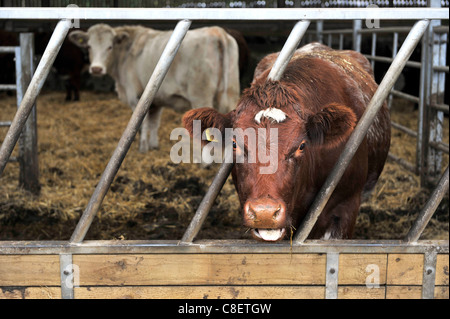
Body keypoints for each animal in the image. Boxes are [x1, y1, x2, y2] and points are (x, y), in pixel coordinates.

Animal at [69, 24, 239, 152]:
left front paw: (142, 148)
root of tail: (217, 31)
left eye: (110, 46)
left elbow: (141, 124)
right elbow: (154, 122)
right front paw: (153, 145)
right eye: (89, 46)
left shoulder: (136, 96)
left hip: (200, 96)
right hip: (231, 94)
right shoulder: (157, 100)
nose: (96, 69)